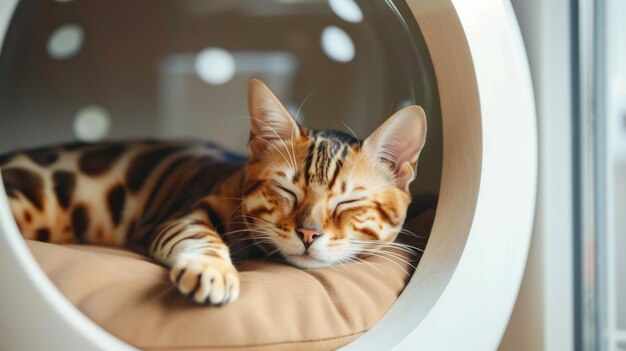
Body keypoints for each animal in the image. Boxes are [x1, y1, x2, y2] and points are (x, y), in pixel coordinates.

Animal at [0, 78, 426, 306]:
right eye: (286, 190)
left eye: (349, 202)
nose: (308, 234)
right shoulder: (181, 215)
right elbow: (201, 236)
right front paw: (212, 270)